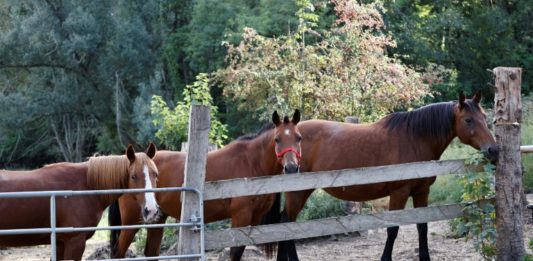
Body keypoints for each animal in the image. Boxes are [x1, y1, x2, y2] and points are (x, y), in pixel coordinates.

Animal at [0, 143, 159, 258]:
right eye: (133, 176)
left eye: (156, 174)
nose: (151, 210)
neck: (86, 185)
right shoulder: (75, 242)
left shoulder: (60, 243)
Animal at [109, 110, 302, 260]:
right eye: (277, 139)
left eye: (298, 138)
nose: (291, 167)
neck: (251, 163)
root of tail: (129, 162)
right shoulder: (241, 217)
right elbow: (236, 252)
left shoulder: (254, 220)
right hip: (131, 222)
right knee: (119, 253)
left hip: (157, 218)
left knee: (151, 252)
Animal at [276, 92, 500, 260]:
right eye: (468, 120)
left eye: (485, 118)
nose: (494, 149)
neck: (414, 138)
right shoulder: (399, 193)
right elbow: (392, 229)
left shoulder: (422, 192)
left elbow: (422, 226)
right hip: (298, 192)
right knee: (287, 223)